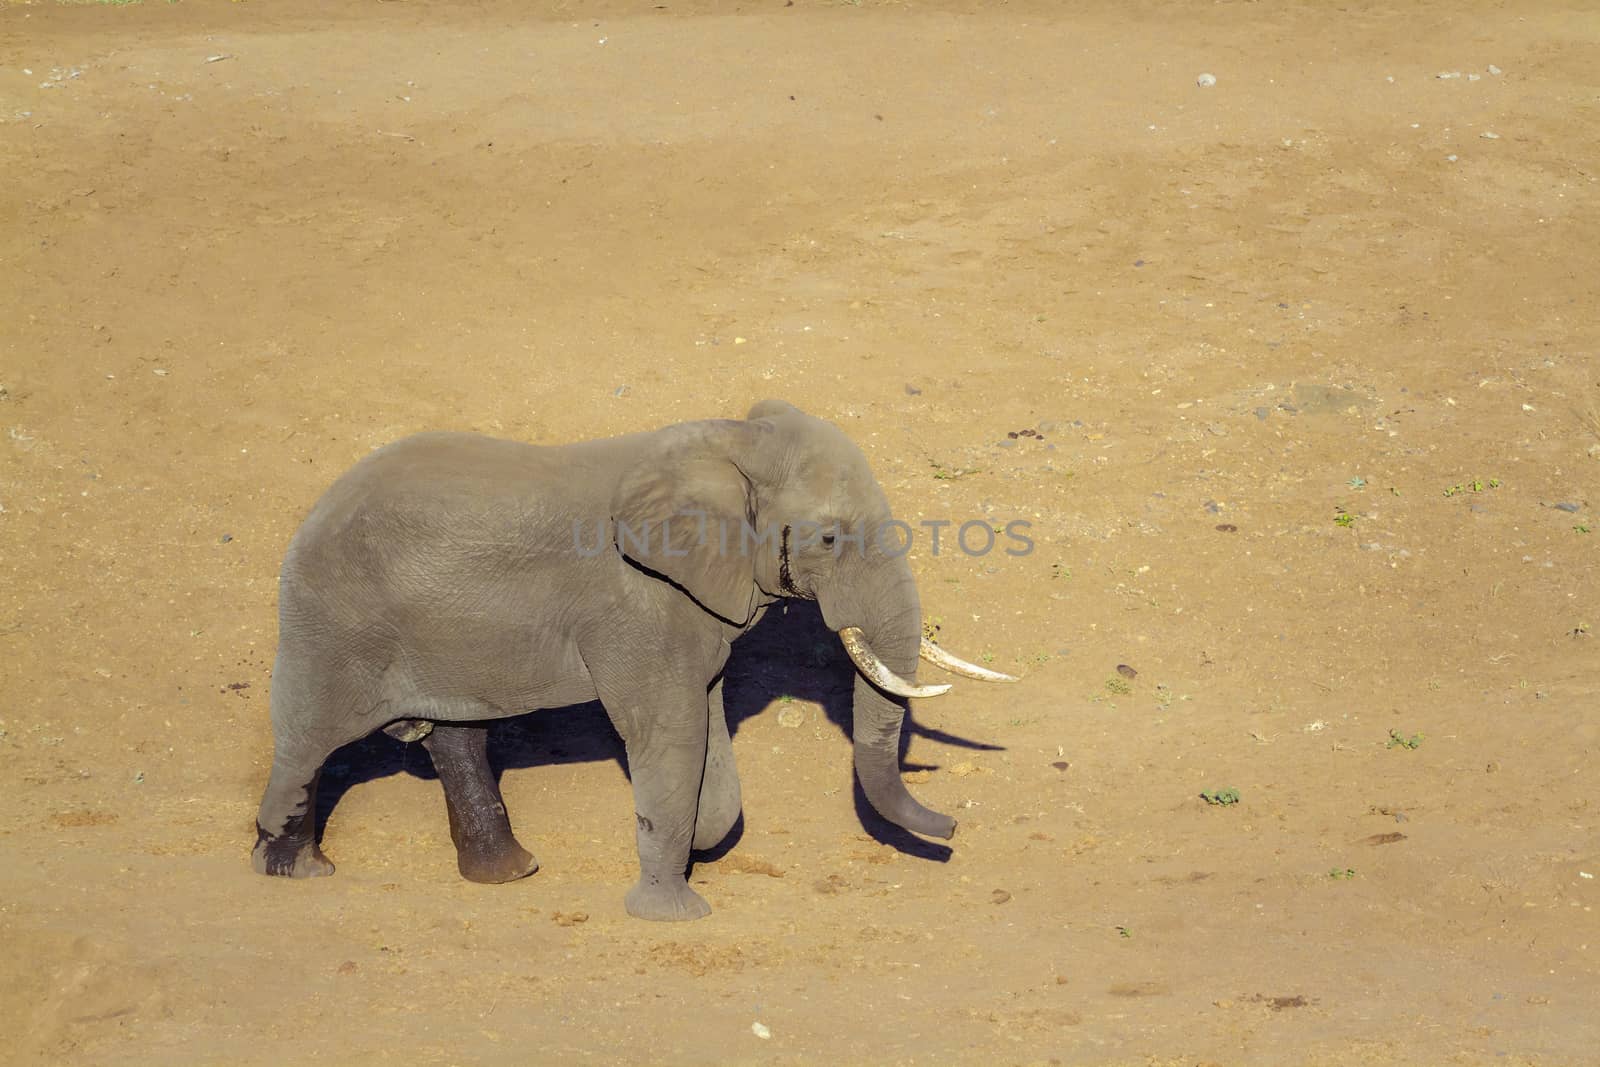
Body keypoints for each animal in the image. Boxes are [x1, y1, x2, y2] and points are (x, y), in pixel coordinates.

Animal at [256, 399, 1017, 921]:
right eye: (828, 538)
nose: (955, 828)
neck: (727, 440)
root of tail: (313, 514)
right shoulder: (636, 605)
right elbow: (670, 733)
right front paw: (674, 914)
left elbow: (706, 734)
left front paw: (698, 844)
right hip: (333, 623)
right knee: (308, 742)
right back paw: (298, 873)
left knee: (456, 738)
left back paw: (511, 873)